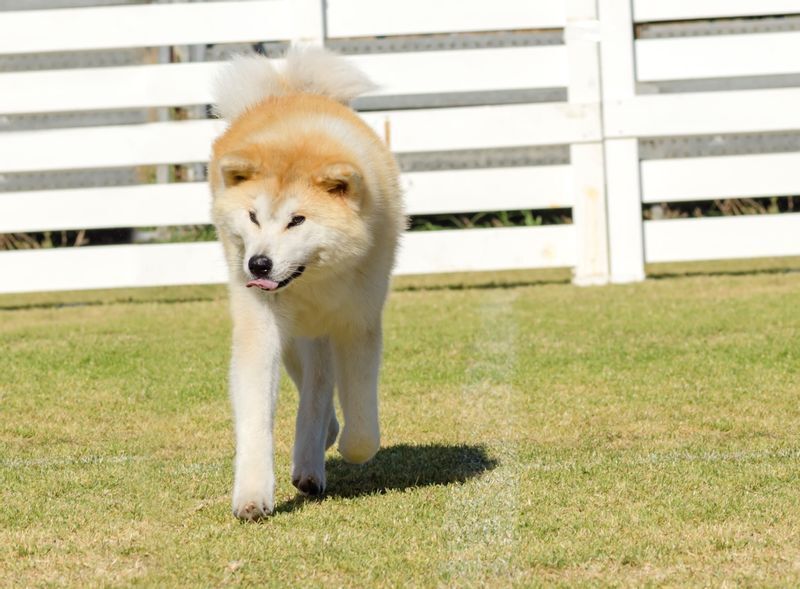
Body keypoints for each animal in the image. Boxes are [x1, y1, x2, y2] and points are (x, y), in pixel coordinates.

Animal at [209, 47, 404, 520]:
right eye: (253, 216)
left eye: (297, 220)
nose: (258, 265)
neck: (314, 278)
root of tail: (291, 91)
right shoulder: (261, 328)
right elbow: (256, 416)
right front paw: (252, 494)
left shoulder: (357, 323)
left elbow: (362, 428)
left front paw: (352, 445)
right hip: (294, 336)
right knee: (313, 389)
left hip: (318, 333)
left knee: (319, 391)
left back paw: (314, 461)